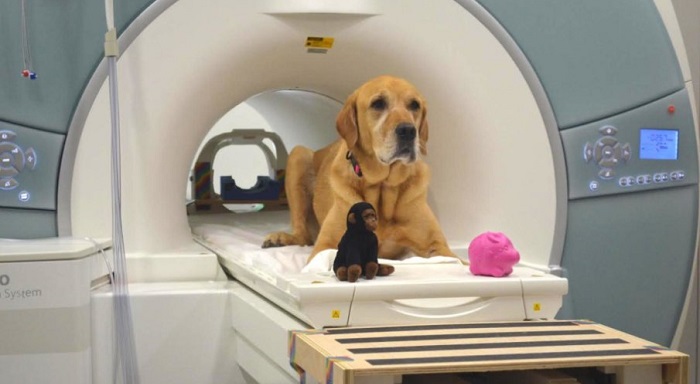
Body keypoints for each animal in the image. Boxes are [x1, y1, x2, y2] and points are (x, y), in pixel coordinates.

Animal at [262, 75, 454, 260]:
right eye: (378, 103)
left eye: (414, 105)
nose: (408, 131)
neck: (382, 186)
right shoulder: (326, 245)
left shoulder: (438, 246)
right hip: (298, 156)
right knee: (303, 236)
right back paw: (279, 238)